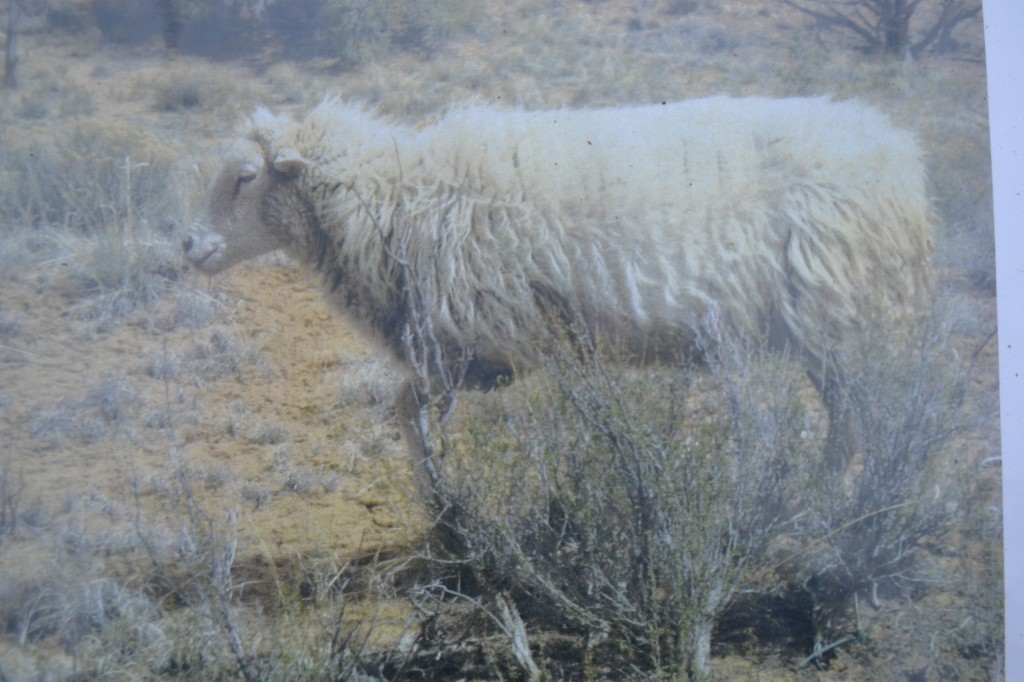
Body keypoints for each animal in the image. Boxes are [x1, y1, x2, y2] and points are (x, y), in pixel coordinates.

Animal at [184, 95, 937, 475]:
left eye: (245, 178)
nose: (189, 246)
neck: (396, 199)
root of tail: (898, 155)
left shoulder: (465, 341)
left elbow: (414, 416)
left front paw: (448, 508)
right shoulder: (474, 355)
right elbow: (410, 415)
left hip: (841, 312)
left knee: (868, 419)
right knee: (848, 421)